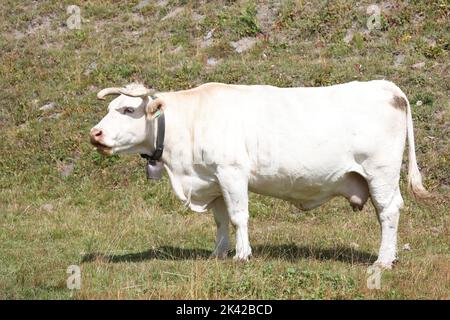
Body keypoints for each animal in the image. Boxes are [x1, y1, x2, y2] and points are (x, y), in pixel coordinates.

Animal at [90, 80, 428, 270]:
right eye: (109, 108)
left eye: (128, 110)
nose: (95, 133)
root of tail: (388, 87)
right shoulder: (212, 181)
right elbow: (220, 220)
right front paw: (217, 254)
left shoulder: (232, 172)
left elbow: (239, 216)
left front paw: (242, 255)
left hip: (380, 173)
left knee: (388, 212)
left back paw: (383, 261)